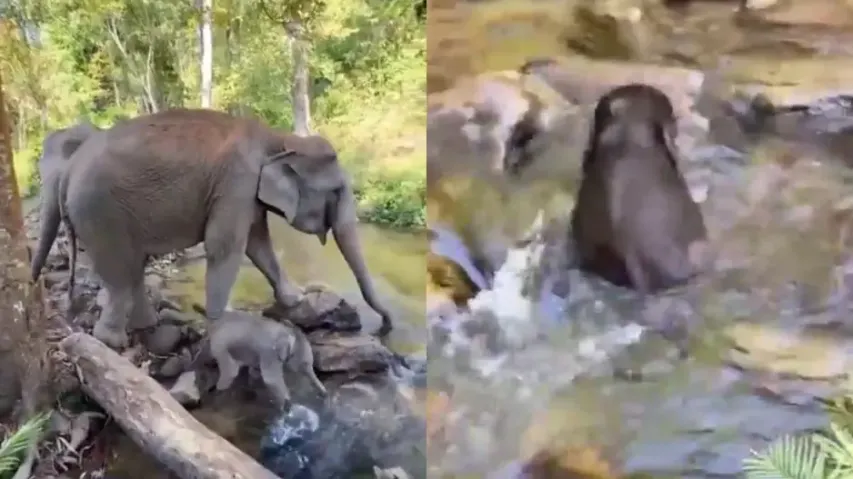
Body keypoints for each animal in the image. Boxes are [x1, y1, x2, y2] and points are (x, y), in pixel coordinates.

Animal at [36, 108, 393, 349]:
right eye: (336, 191)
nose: (385, 327)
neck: (279, 138)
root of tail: (70, 168)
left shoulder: (247, 193)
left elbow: (258, 244)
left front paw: (297, 298)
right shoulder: (237, 180)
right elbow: (226, 246)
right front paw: (226, 324)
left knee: (132, 269)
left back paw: (146, 325)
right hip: (100, 213)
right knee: (121, 274)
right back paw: (112, 342)